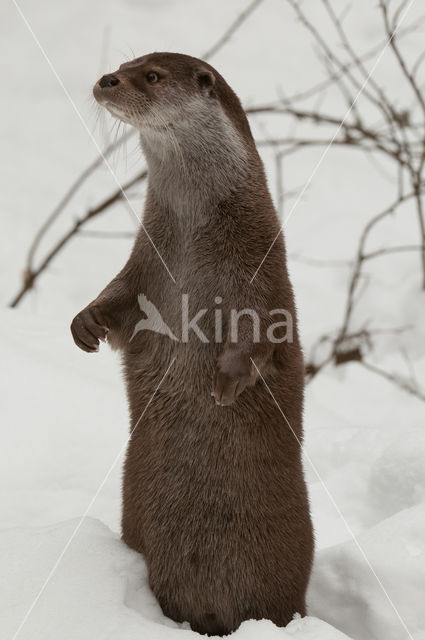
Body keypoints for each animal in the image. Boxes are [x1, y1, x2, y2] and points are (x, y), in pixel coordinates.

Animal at [71, 51, 314, 636]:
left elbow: (262, 334)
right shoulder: (144, 267)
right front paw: (85, 323)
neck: (192, 240)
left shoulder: (258, 272)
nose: (107, 80)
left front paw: (227, 379)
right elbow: (119, 304)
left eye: (152, 76)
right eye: (124, 62)